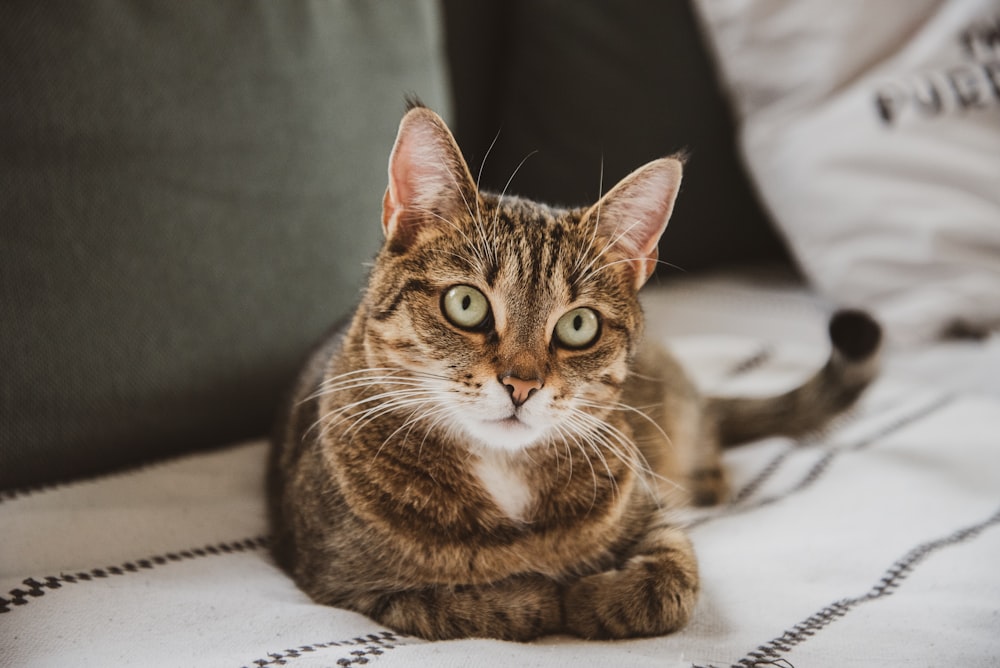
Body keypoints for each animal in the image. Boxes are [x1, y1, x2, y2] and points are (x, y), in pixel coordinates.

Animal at [268, 104, 884, 640]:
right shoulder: (343, 579)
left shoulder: (651, 514)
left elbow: (672, 581)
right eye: (465, 304)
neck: (503, 473)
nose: (521, 384)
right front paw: (540, 594)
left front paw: (592, 595)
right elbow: (471, 605)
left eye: (579, 325)